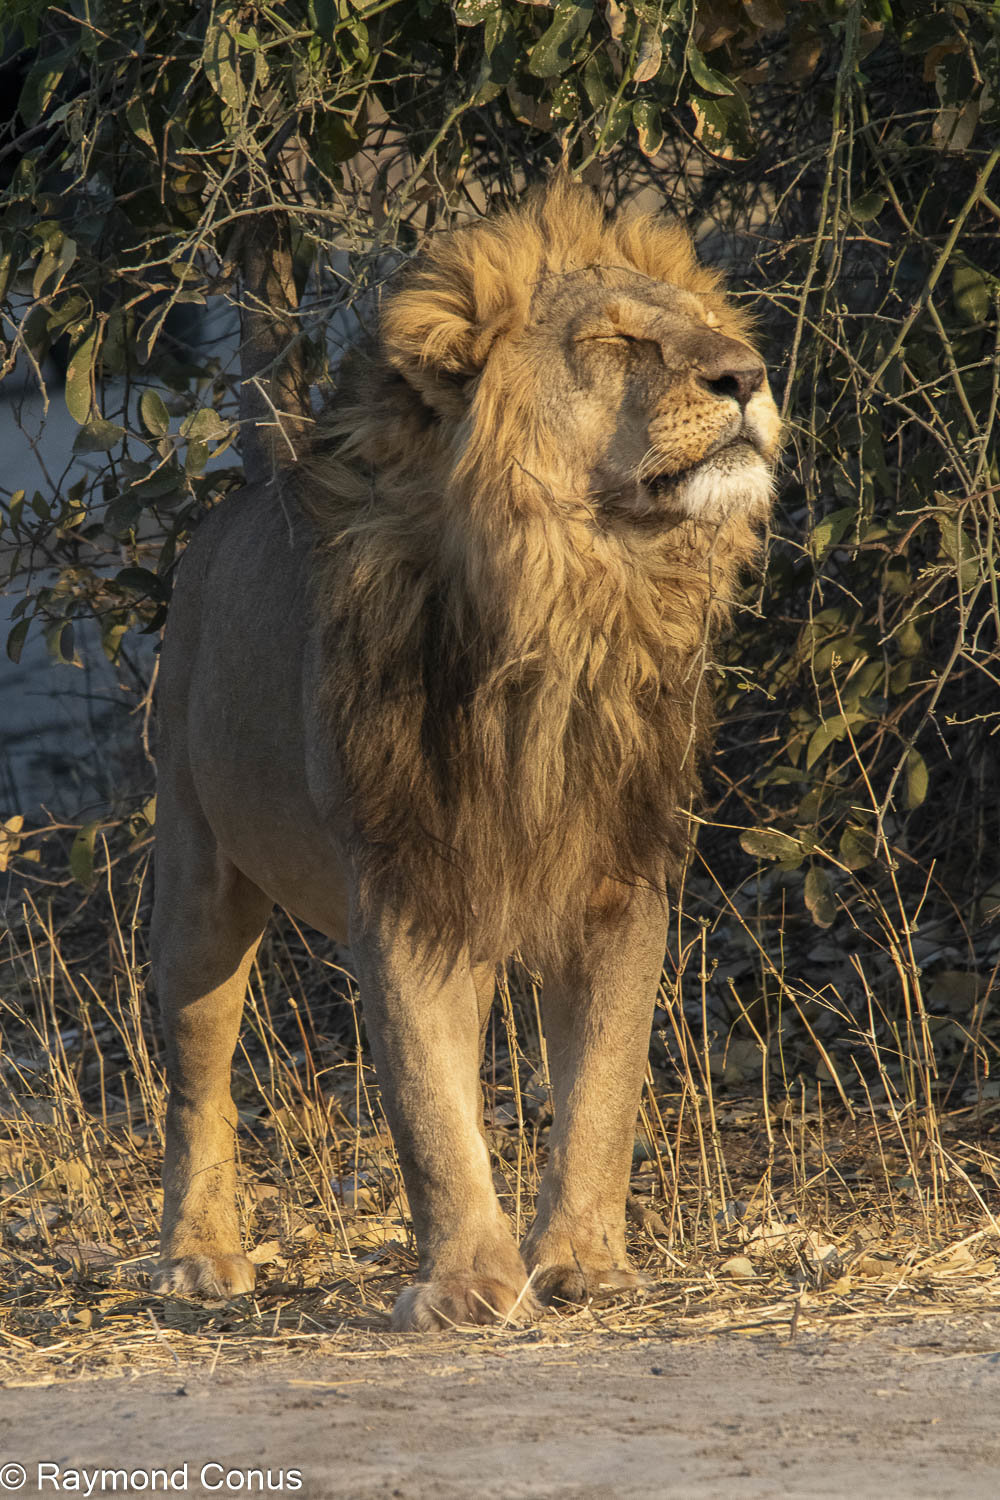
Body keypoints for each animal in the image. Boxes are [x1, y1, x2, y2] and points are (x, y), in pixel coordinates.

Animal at [150, 179, 780, 1330]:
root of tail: (227, 510)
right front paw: (468, 1285)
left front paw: (583, 1265)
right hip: (197, 870)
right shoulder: (402, 882)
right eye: (616, 341)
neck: (571, 600)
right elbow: (426, 1108)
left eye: (706, 329)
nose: (749, 375)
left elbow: (602, 1088)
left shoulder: (619, 878)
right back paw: (198, 1257)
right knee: (195, 1076)